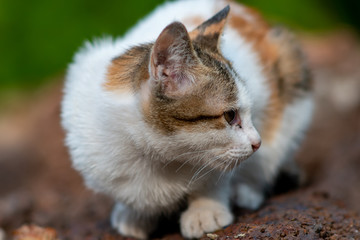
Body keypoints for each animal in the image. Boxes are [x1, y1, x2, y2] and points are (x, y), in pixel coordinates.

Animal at [61, 0, 312, 239]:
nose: (257, 142)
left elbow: (216, 177)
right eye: (230, 115)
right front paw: (135, 214)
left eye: (248, 112)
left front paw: (206, 210)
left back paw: (247, 190)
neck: (157, 157)